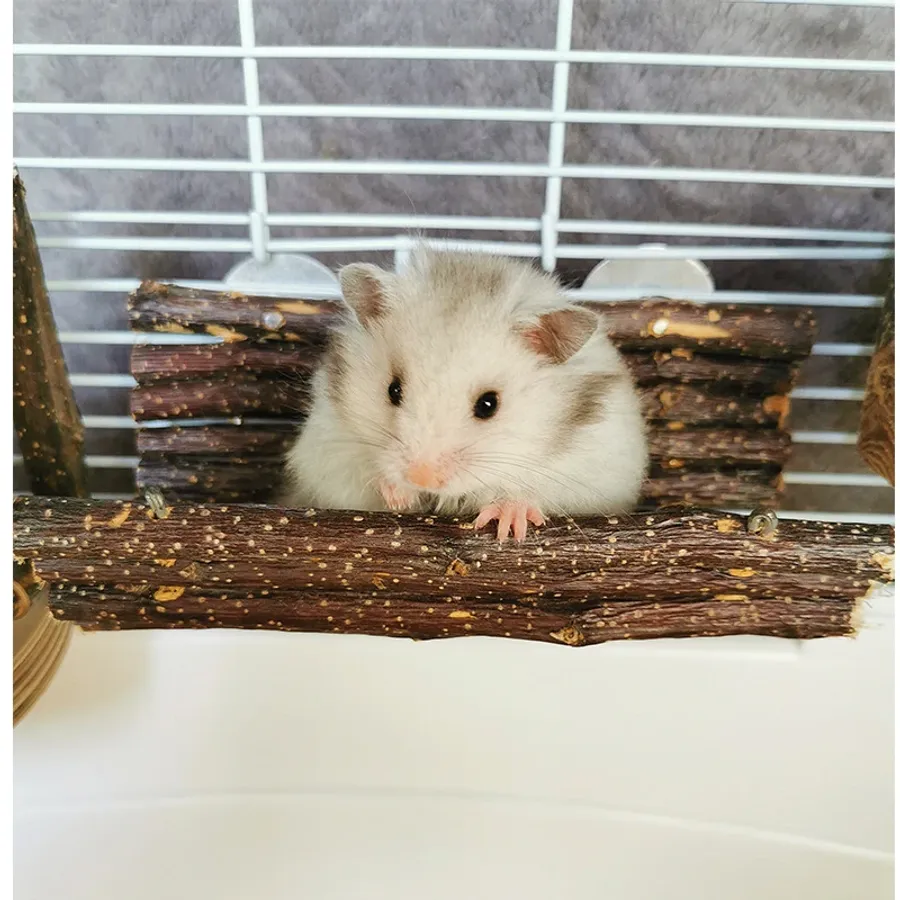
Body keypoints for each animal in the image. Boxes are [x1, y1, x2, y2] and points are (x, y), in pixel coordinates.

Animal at [281, 246, 649, 541]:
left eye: (489, 404)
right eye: (393, 390)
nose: (422, 477)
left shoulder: (591, 473)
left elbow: (532, 490)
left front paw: (508, 525)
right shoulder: (328, 447)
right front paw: (400, 494)